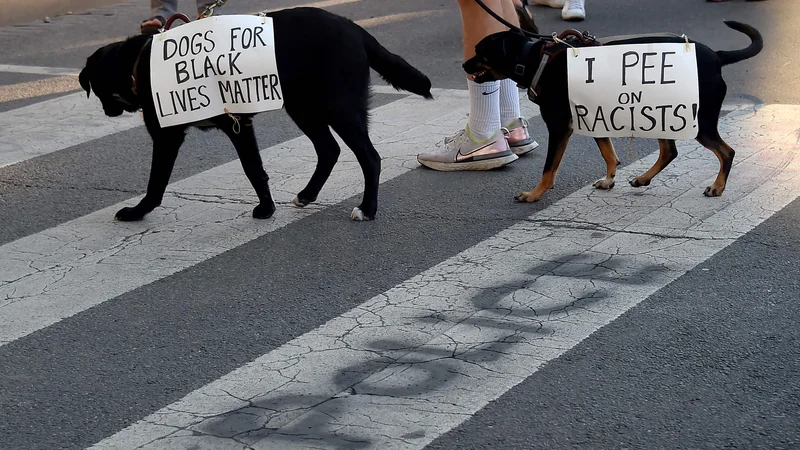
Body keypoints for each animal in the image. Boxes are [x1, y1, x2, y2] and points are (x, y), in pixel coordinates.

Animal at [79, 7, 434, 222]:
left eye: (96, 88)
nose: (107, 112)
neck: (139, 63)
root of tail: (354, 28)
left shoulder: (195, 131)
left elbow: (159, 182)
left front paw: (138, 212)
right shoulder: (234, 125)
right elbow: (256, 169)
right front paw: (269, 206)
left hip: (339, 107)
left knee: (369, 157)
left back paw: (367, 209)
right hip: (303, 108)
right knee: (329, 150)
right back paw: (307, 195)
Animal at [462, 21, 764, 202]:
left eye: (479, 51)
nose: (464, 65)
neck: (534, 60)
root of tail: (717, 56)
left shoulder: (559, 126)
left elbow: (549, 168)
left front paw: (535, 194)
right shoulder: (592, 115)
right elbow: (609, 153)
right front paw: (609, 180)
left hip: (697, 121)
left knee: (727, 151)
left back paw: (718, 186)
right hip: (660, 114)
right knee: (670, 151)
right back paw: (644, 178)